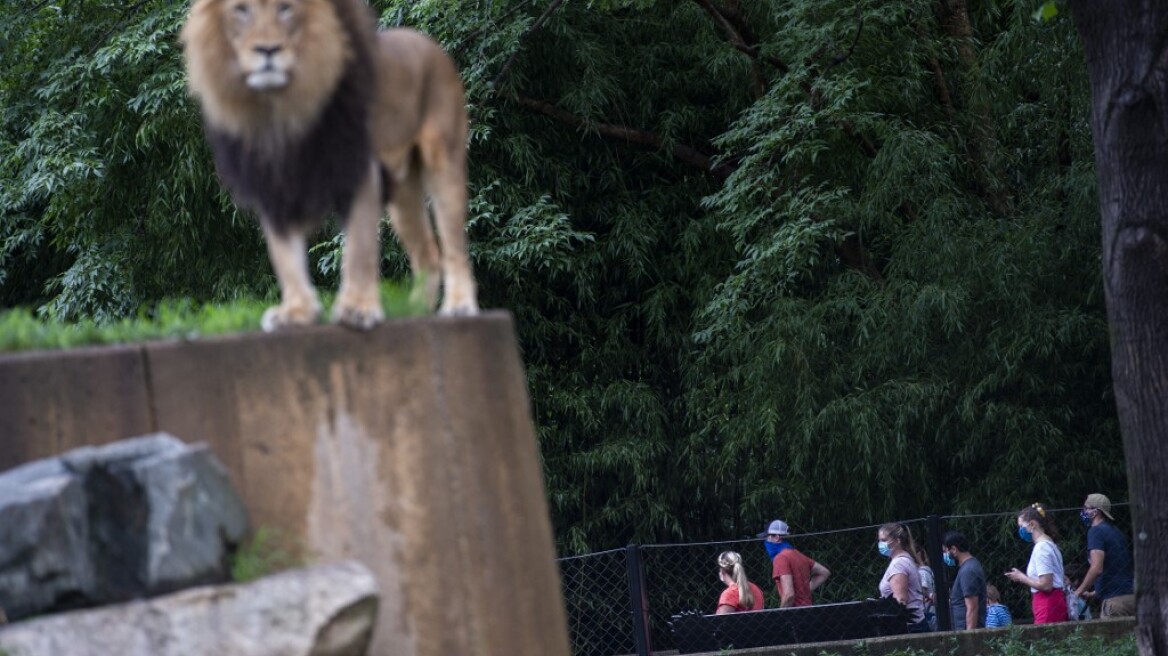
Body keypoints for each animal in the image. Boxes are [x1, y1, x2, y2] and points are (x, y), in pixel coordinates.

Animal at [178, 0, 478, 329]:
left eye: (286, 9)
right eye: (241, 10)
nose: (267, 50)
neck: (280, 108)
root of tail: (427, 42)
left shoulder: (357, 171)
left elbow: (359, 248)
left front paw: (358, 308)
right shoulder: (272, 185)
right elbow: (284, 255)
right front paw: (297, 312)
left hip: (443, 161)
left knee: (454, 247)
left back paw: (459, 306)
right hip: (402, 192)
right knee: (428, 253)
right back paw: (415, 312)